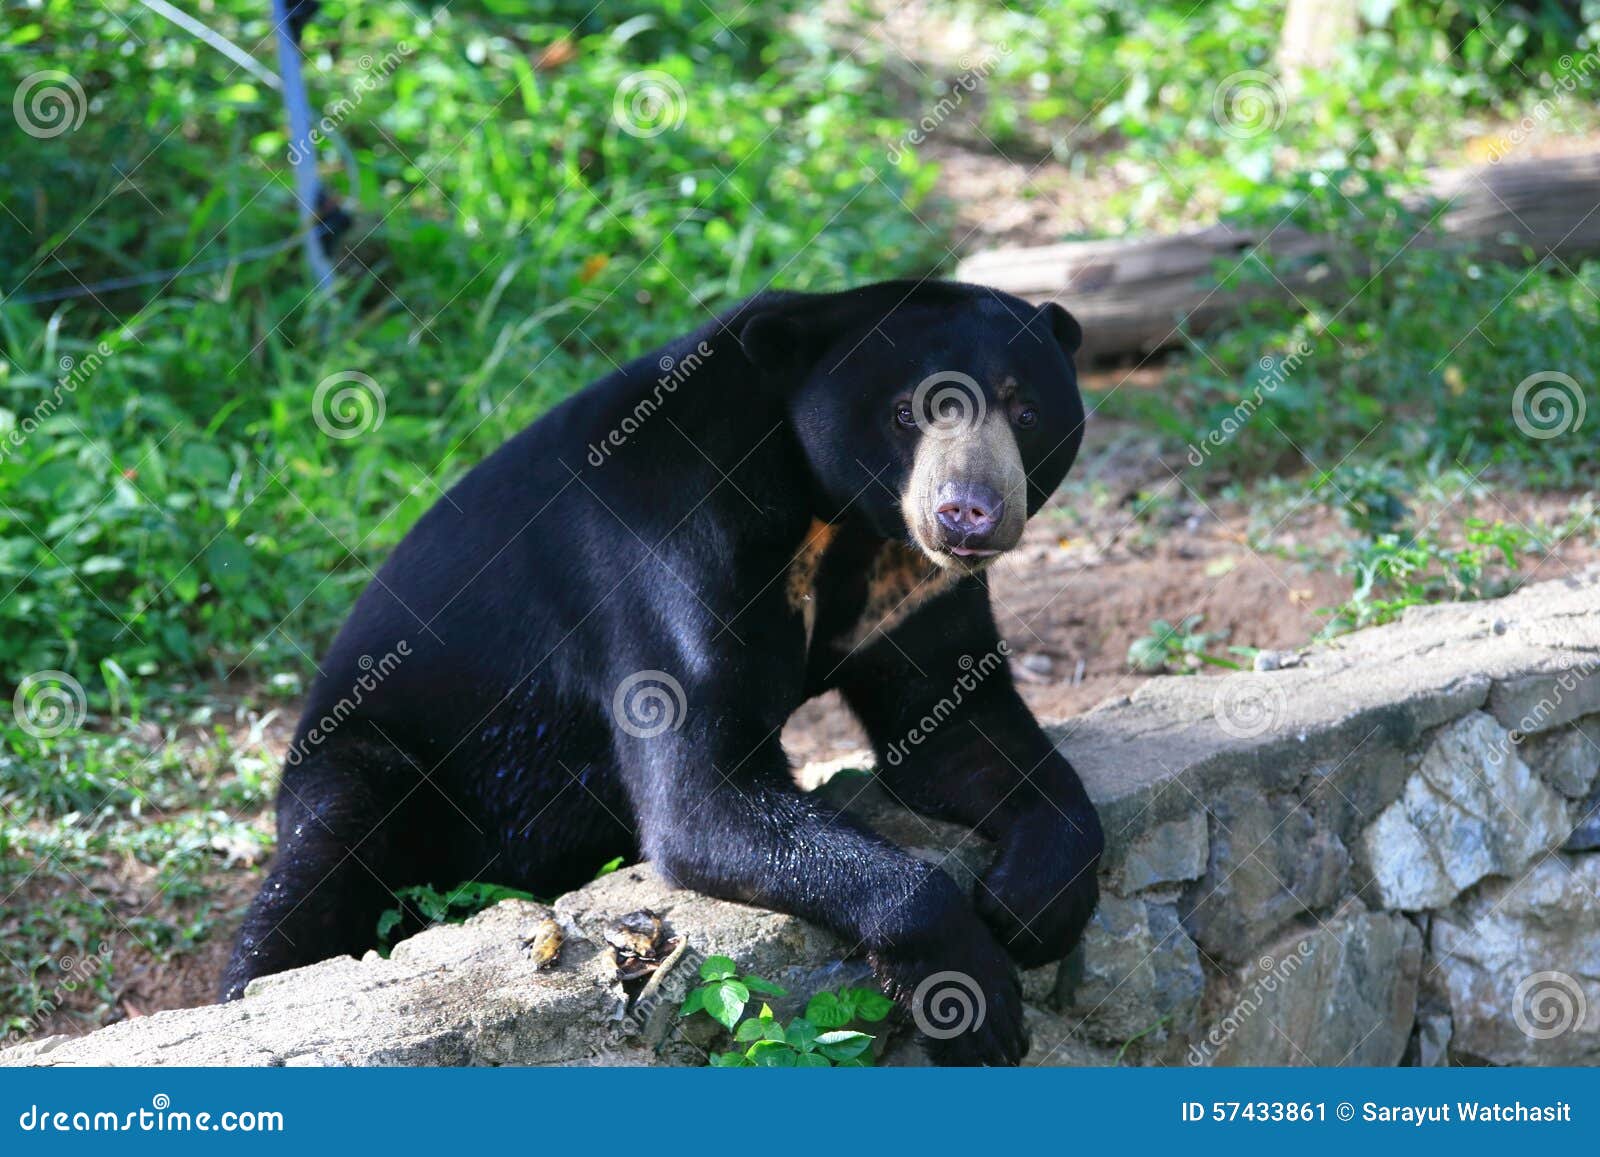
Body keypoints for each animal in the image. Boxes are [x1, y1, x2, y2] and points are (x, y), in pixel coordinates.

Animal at [222, 280, 1100, 1068]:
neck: (830, 514)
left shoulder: (913, 584)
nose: (968, 511)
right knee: (319, 869)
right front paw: (974, 995)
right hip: (373, 753)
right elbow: (699, 795)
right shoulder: (667, 550)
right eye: (908, 411)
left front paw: (1029, 904)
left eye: (1025, 412)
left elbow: (957, 728)